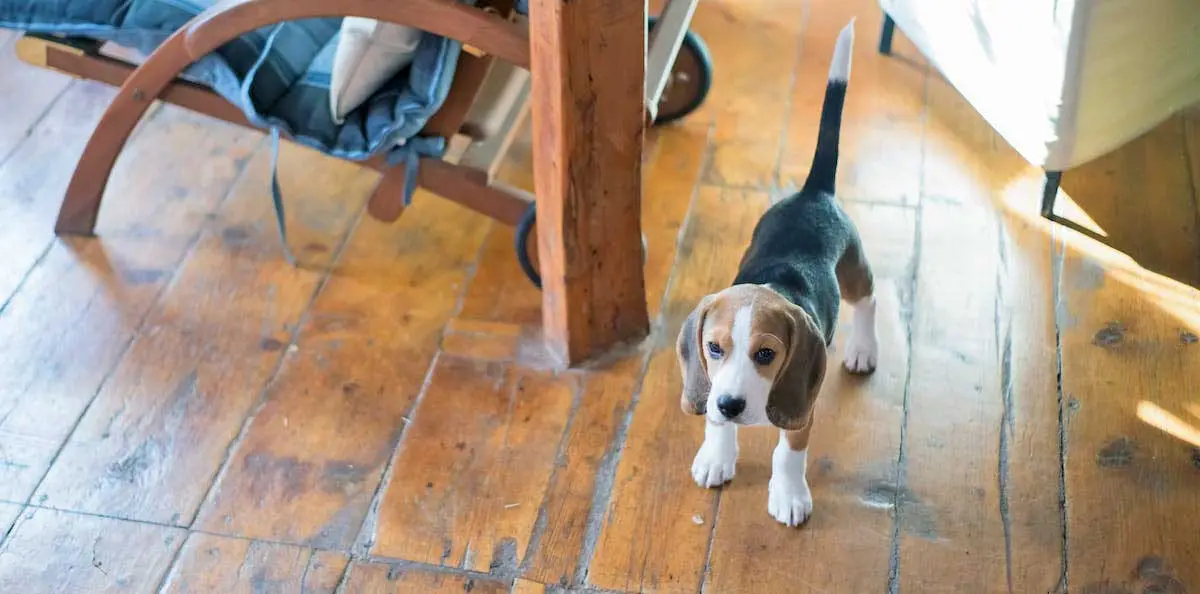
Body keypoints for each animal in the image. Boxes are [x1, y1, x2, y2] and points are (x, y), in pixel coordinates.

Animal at [676, 21, 873, 528]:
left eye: (766, 354)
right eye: (713, 348)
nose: (731, 404)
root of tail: (813, 192)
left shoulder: (802, 411)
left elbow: (788, 454)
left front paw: (788, 495)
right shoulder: (710, 385)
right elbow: (714, 423)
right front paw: (717, 454)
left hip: (854, 267)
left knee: (868, 299)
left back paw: (864, 348)